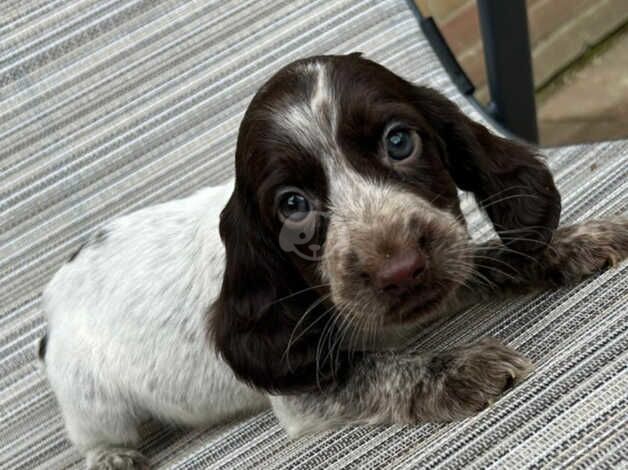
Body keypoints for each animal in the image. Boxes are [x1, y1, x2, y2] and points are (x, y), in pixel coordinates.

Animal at [40, 53, 628, 468]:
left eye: (399, 141)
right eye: (292, 204)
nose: (399, 269)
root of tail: (53, 296)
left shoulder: (436, 267)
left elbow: (483, 259)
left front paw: (568, 245)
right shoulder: (304, 392)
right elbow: (380, 369)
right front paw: (458, 370)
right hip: (91, 396)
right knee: (95, 433)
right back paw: (113, 458)